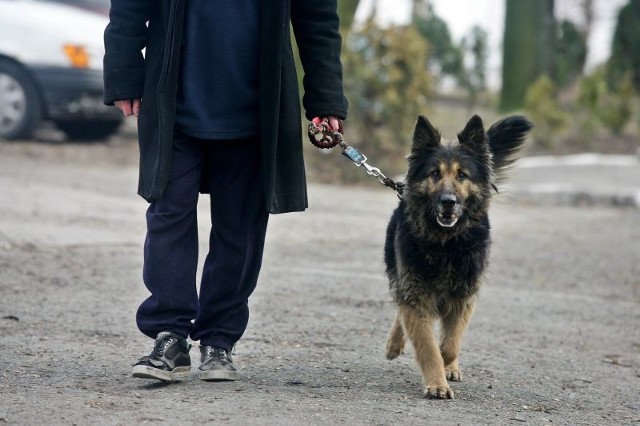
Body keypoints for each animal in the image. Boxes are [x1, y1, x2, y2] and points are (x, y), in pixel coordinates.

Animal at [384, 114, 528, 400]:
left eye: (462, 175)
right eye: (435, 173)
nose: (448, 201)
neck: (446, 244)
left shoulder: (463, 297)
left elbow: (450, 345)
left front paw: (446, 363)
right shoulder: (416, 296)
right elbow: (427, 344)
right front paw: (437, 382)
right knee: (400, 307)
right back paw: (395, 343)